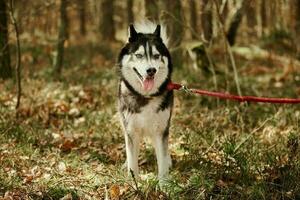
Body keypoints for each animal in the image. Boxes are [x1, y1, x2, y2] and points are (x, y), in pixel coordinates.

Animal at [118, 21, 173, 181]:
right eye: (139, 55)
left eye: (156, 55)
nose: (151, 70)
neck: (146, 96)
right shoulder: (131, 130)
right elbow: (132, 161)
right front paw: (134, 182)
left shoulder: (161, 130)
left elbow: (162, 161)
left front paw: (164, 183)